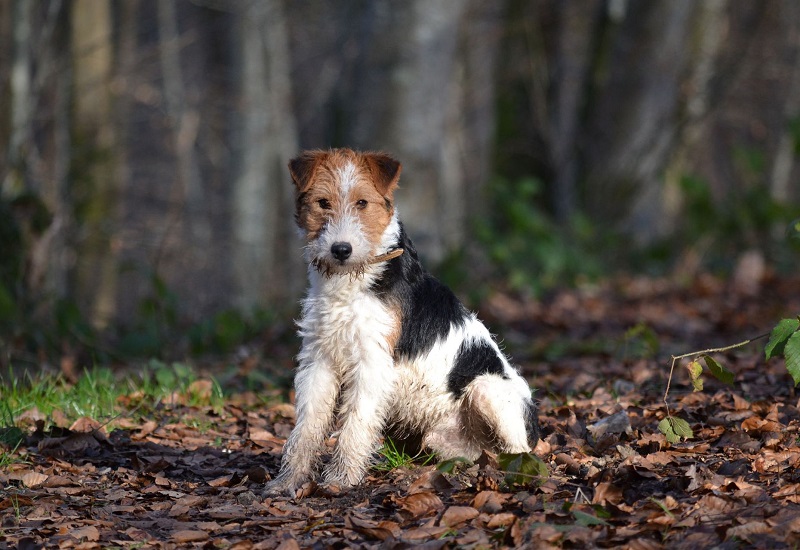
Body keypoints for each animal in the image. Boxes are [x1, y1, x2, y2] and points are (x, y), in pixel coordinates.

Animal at [266, 149, 540, 498]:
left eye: (362, 202)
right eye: (322, 202)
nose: (341, 250)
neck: (354, 279)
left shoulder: (371, 362)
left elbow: (355, 424)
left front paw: (340, 480)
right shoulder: (319, 360)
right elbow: (307, 427)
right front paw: (288, 482)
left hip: (486, 390)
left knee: (518, 453)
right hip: (438, 438)